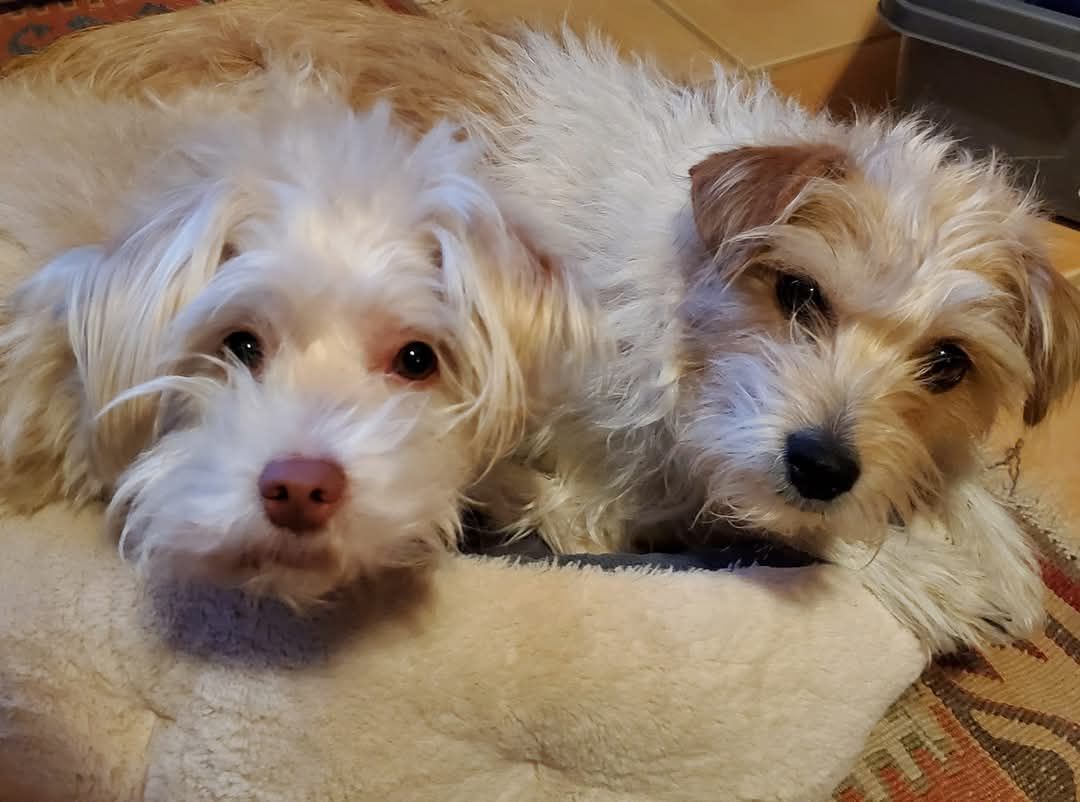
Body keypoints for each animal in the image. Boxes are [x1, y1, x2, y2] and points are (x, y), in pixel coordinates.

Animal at [8, 0, 1080, 647]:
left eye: (948, 363)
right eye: (799, 294)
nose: (821, 466)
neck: (672, 308)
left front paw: (978, 536)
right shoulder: (591, 490)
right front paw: (940, 575)